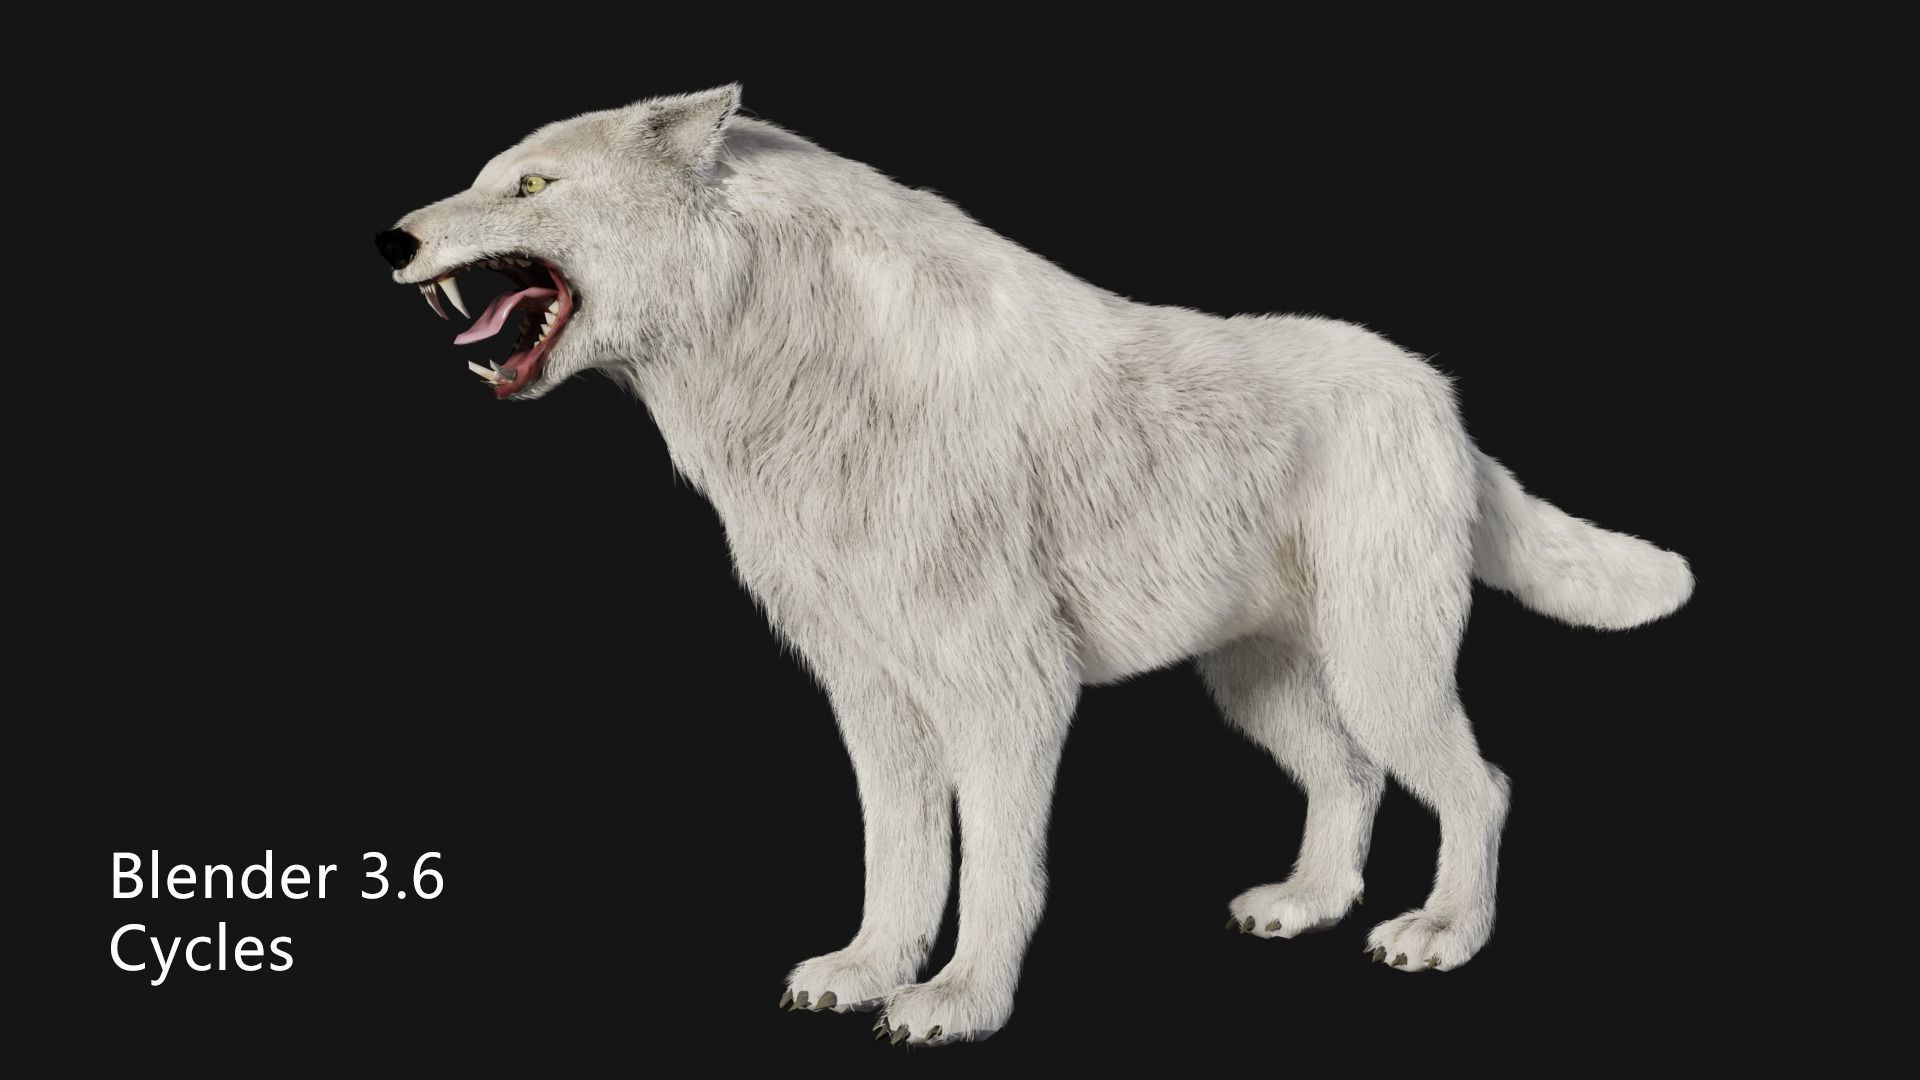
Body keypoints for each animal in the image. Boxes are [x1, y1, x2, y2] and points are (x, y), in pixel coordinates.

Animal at [378, 85, 1692, 1045]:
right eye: (490, 176)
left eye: (530, 186)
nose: (393, 236)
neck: (795, 378)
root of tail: (1442, 398)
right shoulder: (874, 698)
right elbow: (901, 857)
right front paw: (867, 971)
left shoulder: (1009, 694)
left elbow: (1002, 869)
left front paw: (960, 1004)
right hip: (1259, 688)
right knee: (1352, 777)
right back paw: (1304, 906)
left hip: (1382, 671)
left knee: (1480, 786)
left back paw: (1442, 933)